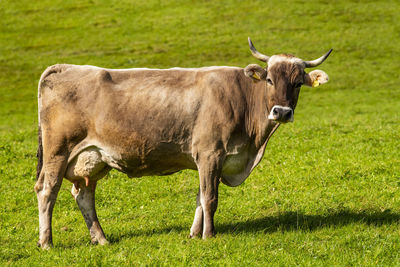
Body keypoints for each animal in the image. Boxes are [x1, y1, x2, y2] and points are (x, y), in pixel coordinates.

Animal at [35, 37, 332, 249]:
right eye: (269, 79)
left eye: (297, 83)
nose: (281, 112)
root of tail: (62, 68)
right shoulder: (211, 153)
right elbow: (210, 198)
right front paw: (209, 235)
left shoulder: (210, 159)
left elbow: (200, 197)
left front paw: (193, 234)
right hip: (58, 151)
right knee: (47, 191)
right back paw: (47, 243)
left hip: (91, 158)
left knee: (84, 195)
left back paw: (101, 239)